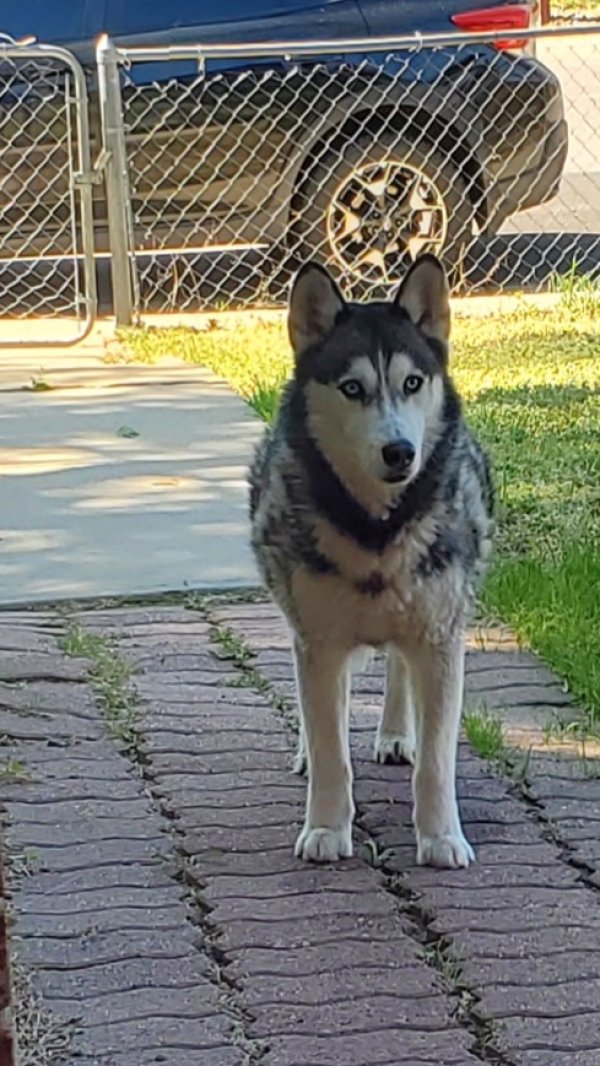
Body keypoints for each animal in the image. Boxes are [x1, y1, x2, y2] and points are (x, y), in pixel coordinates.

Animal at [247, 255, 492, 865]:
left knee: (399, 668)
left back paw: (397, 733)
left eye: (412, 383)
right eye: (352, 388)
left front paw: (441, 836)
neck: (377, 530)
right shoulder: (319, 642)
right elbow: (331, 746)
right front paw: (326, 828)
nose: (399, 451)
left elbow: (438, 760)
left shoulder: (441, 639)